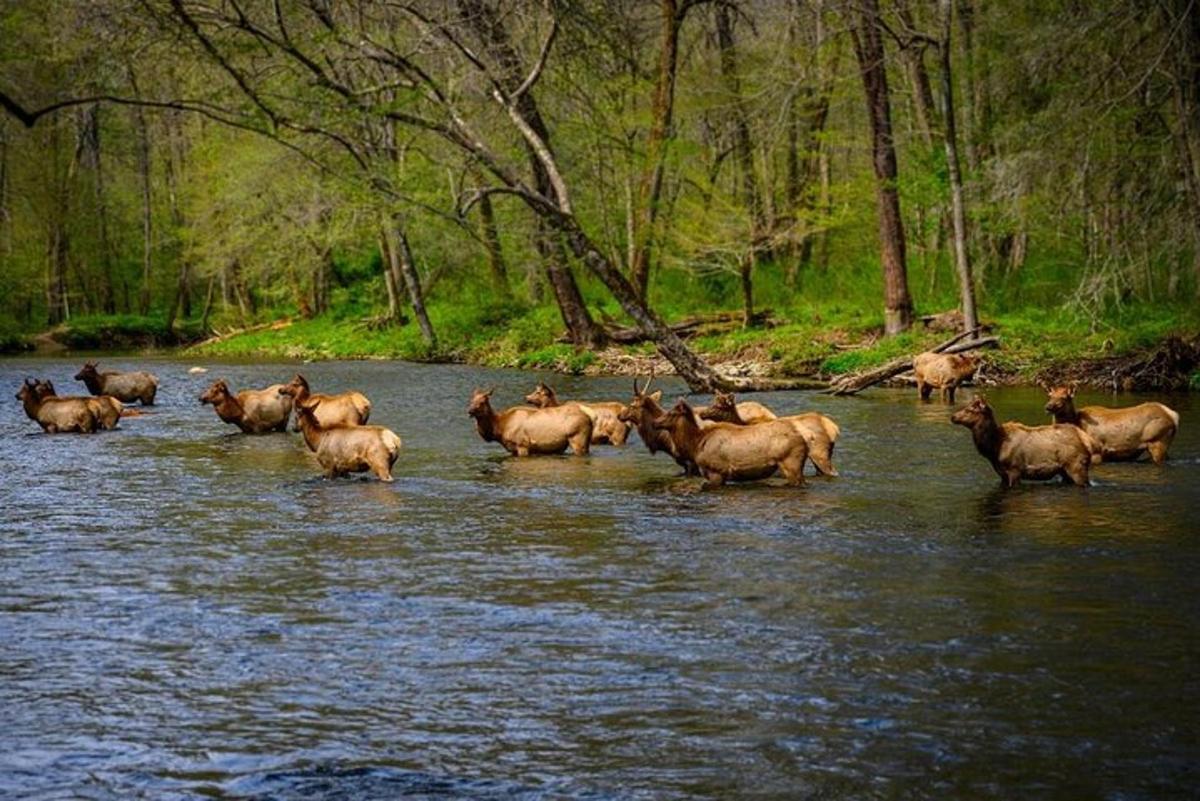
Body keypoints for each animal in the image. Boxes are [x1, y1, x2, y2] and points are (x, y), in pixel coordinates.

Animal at [648, 398, 806, 489]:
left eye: (671, 413)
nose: (654, 422)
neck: (695, 445)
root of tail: (803, 439)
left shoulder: (716, 471)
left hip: (790, 462)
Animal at [700, 388, 840, 474]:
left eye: (719, 406)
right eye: (712, 402)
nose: (702, 413)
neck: (742, 423)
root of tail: (834, 428)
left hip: (819, 452)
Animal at [950, 395, 1099, 489]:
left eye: (970, 410)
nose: (953, 417)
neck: (994, 447)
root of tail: (1086, 440)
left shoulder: (1014, 469)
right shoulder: (1002, 474)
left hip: (1077, 466)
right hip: (1064, 470)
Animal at [1041, 383, 1180, 465]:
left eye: (1064, 397)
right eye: (1050, 396)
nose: (1048, 407)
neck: (1076, 422)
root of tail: (1173, 415)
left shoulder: (1097, 450)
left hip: (1157, 440)